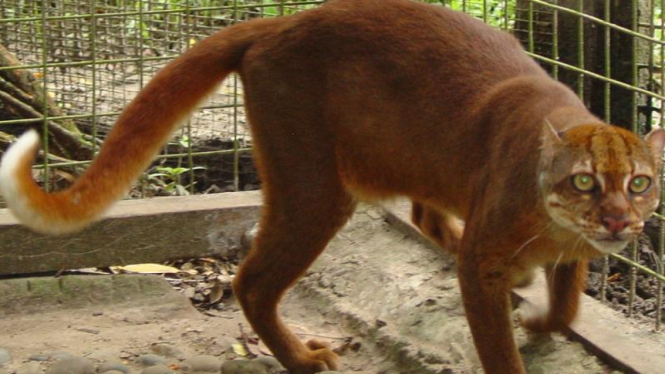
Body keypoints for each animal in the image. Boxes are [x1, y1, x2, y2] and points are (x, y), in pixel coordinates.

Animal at [1, 1, 664, 372]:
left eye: (640, 184)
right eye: (584, 182)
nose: (618, 221)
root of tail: (281, 21)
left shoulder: (565, 251)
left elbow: (570, 298)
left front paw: (543, 316)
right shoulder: (485, 258)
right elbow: (500, 343)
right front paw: (523, 321)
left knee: (423, 216)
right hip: (315, 184)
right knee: (252, 280)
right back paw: (301, 358)